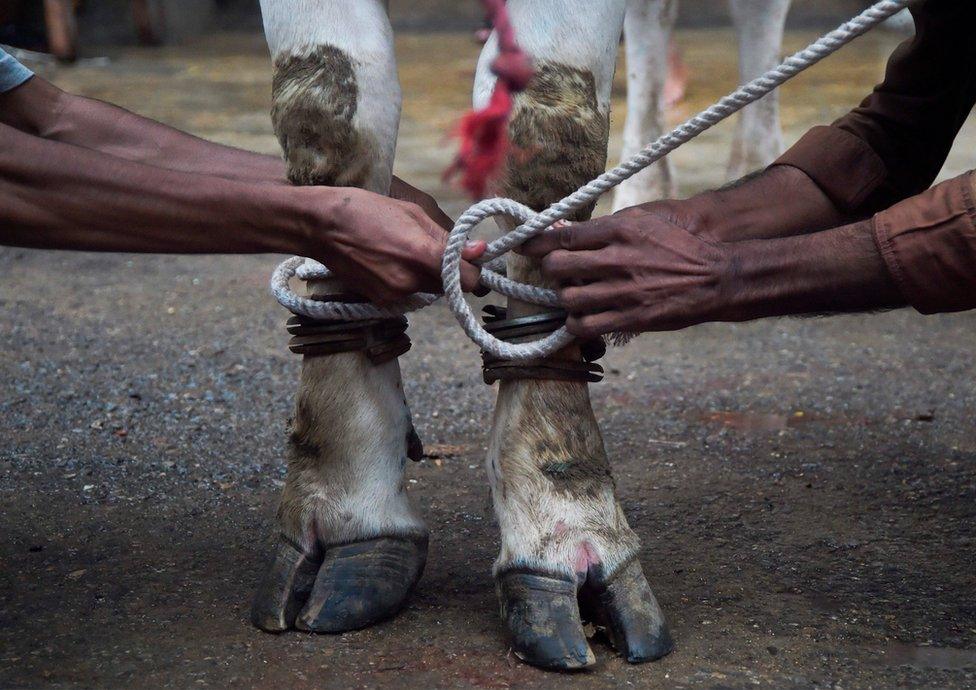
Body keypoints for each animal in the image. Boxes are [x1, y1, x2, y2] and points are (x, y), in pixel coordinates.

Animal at [250, 0, 784, 668]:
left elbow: (549, 125)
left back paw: (752, 167)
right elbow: (325, 106)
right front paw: (348, 512)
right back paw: (649, 184)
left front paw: (566, 525)